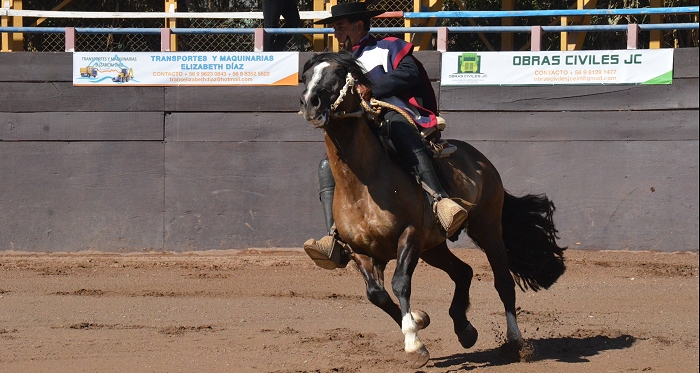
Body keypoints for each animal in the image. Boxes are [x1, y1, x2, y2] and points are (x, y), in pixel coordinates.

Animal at [298, 50, 568, 368]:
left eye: (340, 73)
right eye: (306, 75)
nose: (310, 102)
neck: (363, 184)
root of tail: (480, 160)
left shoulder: (410, 235)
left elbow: (400, 284)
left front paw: (414, 344)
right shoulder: (360, 250)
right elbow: (377, 295)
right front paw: (417, 320)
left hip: (487, 229)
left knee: (503, 282)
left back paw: (514, 341)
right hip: (433, 247)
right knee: (463, 272)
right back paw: (464, 329)